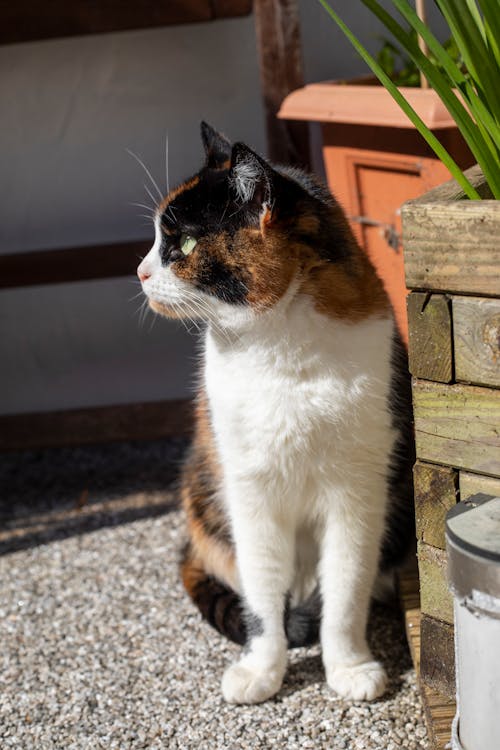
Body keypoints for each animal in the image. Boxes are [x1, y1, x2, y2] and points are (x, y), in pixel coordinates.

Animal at [137, 122, 414, 704]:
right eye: (154, 240)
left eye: (183, 243)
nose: (141, 270)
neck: (278, 350)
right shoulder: (250, 489)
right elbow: (263, 593)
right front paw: (262, 670)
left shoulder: (358, 492)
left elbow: (346, 588)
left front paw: (349, 667)